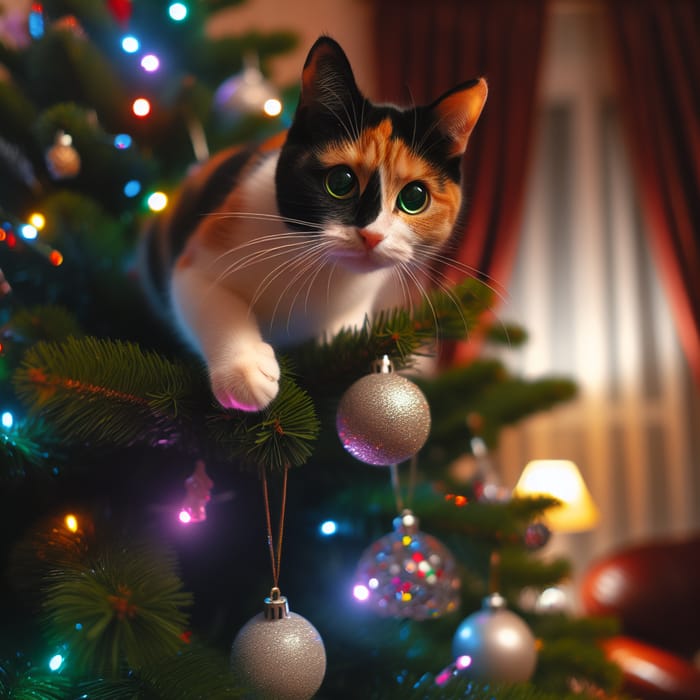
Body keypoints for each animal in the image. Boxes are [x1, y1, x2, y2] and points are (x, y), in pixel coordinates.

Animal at [139, 37, 484, 410]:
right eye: (341, 182)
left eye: (415, 197)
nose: (372, 235)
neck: (321, 270)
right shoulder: (201, 256)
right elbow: (212, 301)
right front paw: (245, 371)